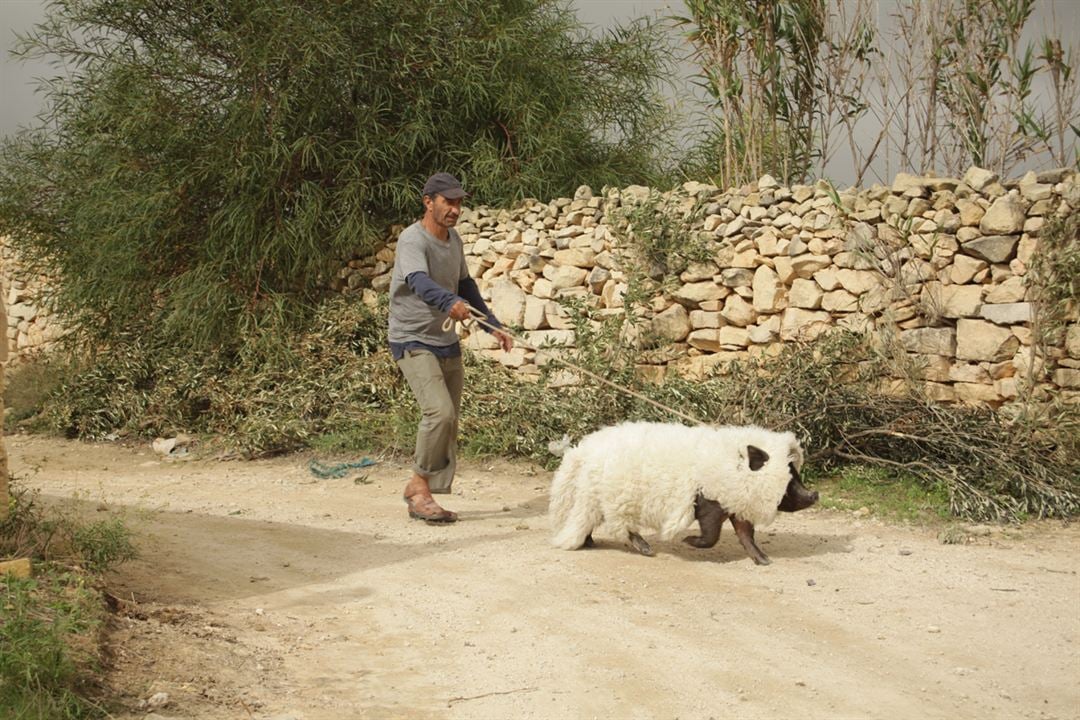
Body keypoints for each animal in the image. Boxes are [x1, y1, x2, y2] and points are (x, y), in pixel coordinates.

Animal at [548, 418, 816, 565]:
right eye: (790, 477)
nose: (814, 495)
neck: (733, 469)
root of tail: (581, 451)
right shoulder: (709, 502)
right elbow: (712, 534)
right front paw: (688, 541)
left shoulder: (733, 504)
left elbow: (746, 535)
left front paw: (764, 560)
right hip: (609, 497)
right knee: (614, 524)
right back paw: (645, 549)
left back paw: (590, 543)